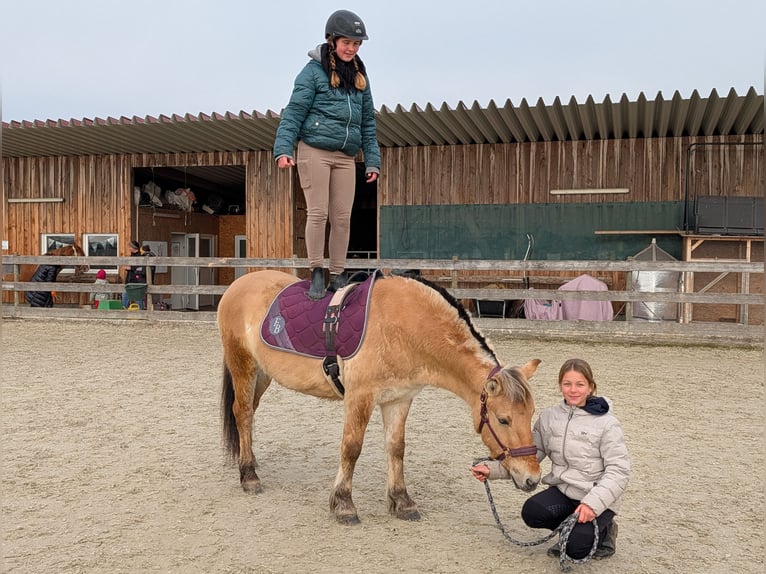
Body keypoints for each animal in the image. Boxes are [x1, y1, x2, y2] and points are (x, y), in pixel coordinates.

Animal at [218, 269, 542, 525]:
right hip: (243, 365)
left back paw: (251, 462)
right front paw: (344, 505)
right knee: (242, 412)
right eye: (503, 420)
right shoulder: (360, 397)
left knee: (249, 413)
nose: (532, 478)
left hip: (263, 373)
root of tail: (238, 284)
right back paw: (249, 476)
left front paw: (402, 501)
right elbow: (351, 448)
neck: (405, 326)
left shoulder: (399, 399)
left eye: (531, 415)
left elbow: (396, 447)